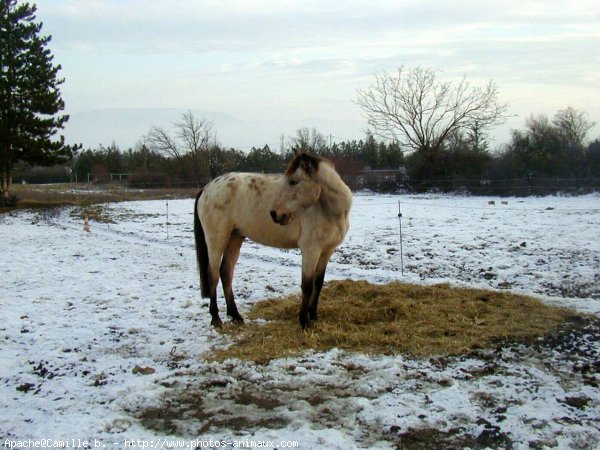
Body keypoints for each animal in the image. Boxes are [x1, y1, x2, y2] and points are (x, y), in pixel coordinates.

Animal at [193, 149, 352, 328]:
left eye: (294, 181)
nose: (275, 214)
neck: (330, 210)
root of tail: (207, 188)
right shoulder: (310, 250)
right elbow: (307, 286)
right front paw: (304, 321)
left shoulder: (327, 251)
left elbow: (318, 283)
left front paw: (314, 316)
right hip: (217, 239)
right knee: (212, 274)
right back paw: (216, 318)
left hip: (235, 238)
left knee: (226, 273)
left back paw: (236, 316)